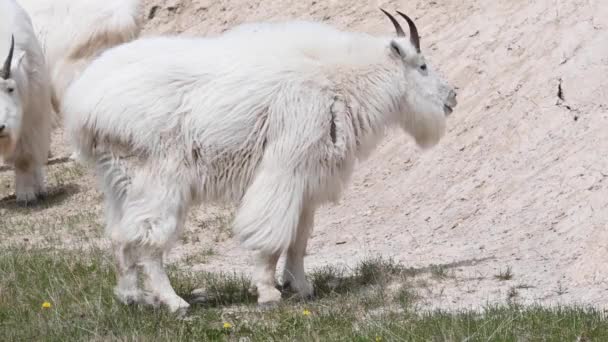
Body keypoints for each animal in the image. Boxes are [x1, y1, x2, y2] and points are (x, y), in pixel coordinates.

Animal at [0, 0, 52, 203]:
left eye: (10, 88)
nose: (1, 128)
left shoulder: (30, 122)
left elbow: (24, 160)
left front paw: (26, 195)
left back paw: (40, 188)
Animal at [63, 10, 456, 316]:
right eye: (422, 65)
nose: (452, 97)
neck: (338, 82)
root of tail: (83, 104)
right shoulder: (283, 169)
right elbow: (271, 234)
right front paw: (268, 293)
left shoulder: (308, 183)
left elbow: (300, 238)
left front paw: (301, 286)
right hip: (159, 178)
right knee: (147, 239)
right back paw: (173, 302)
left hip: (118, 178)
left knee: (119, 236)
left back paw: (134, 297)